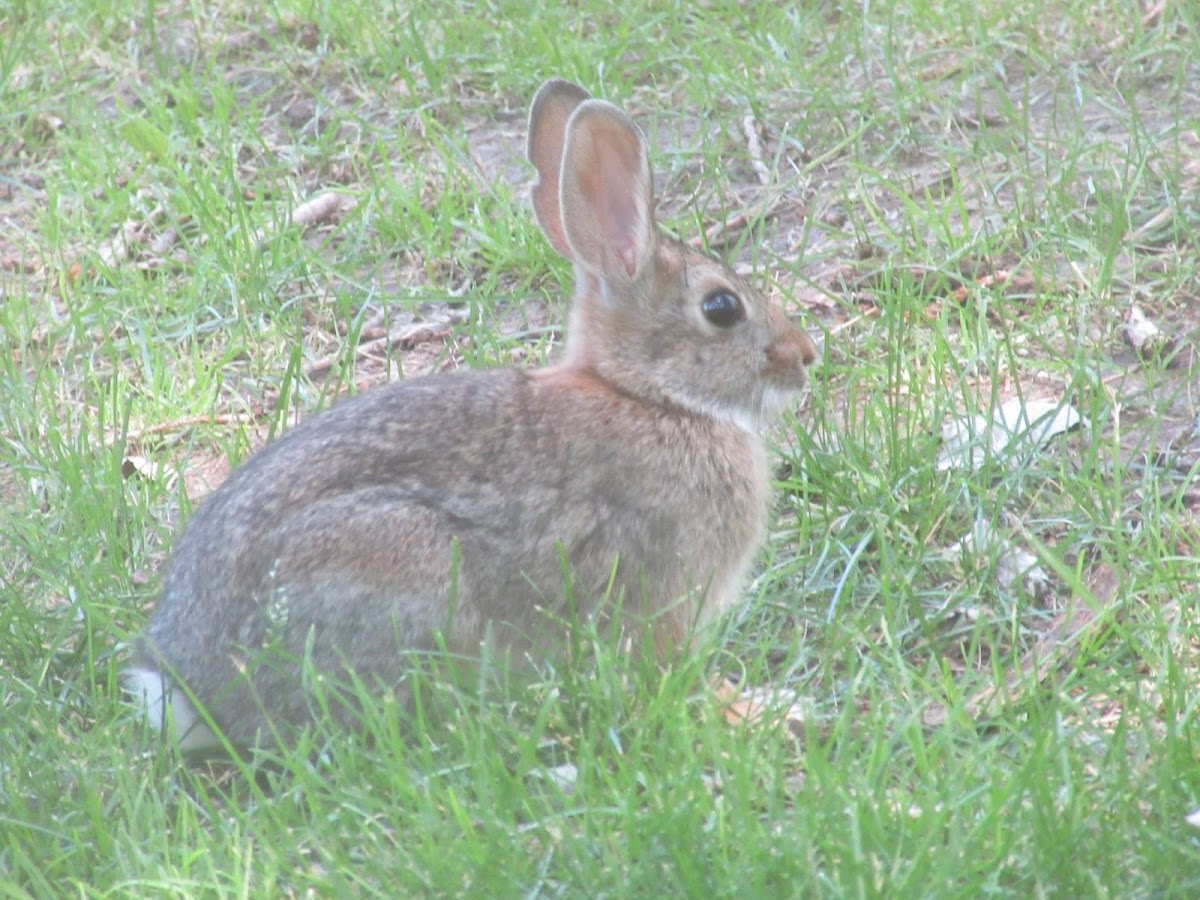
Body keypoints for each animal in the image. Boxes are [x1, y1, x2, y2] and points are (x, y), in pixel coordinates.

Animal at [126, 79, 820, 753]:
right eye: (722, 308)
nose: (805, 356)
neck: (650, 397)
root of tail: (193, 694)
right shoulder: (663, 597)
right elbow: (676, 674)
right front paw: (756, 711)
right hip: (401, 565)